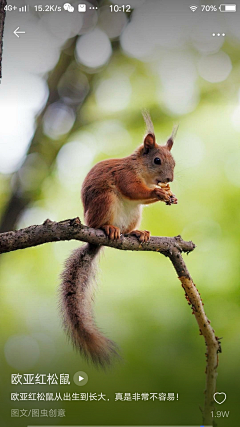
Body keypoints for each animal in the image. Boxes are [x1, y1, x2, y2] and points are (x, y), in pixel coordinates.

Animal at [60, 113, 177, 368]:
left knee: (128, 229)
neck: (141, 170)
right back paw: (108, 228)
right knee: (102, 222)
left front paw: (169, 194)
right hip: (105, 201)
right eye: (156, 160)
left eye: (174, 161)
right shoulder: (125, 175)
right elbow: (133, 189)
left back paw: (137, 234)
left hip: (134, 214)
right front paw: (159, 193)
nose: (169, 179)